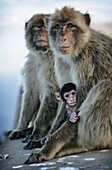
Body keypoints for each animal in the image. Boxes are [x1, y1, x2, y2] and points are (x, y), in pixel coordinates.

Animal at [8, 13, 58, 141]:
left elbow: (52, 93)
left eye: (46, 28)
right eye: (36, 28)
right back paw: (27, 130)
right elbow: (32, 94)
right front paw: (20, 128)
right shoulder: (31, 65)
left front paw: (37, 131)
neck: (44, 56)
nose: (41, 34)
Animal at [24, 6, 112, 163]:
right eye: (57, 27)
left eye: (70, 26)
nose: (62, 38)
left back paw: (84, 145)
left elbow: (78, 105)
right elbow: (63, 99)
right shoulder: (60, 62)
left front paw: (46, 149)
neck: (79, 50)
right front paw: (46, 137)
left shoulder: (89, 63)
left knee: (105, 86)